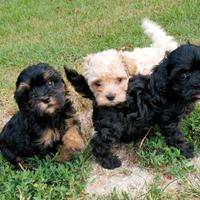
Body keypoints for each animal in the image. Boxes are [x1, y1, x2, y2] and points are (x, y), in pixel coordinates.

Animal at [66, 43, 200, 169]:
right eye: (183, 76)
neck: (167, 88)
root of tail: (96, 96)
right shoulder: (169, 120)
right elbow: (175, 135)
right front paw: (185, 150)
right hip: (113, 125)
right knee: (99, 143)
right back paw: (109, 161)